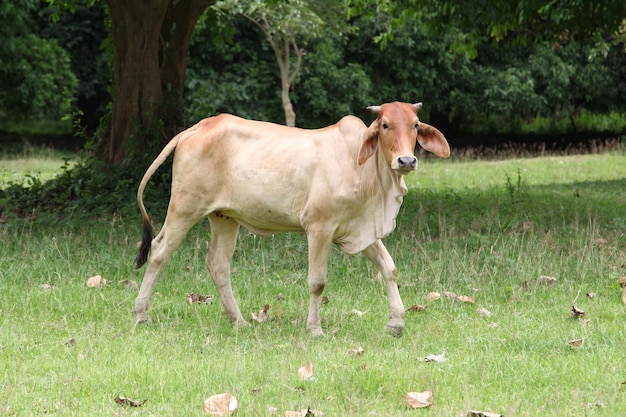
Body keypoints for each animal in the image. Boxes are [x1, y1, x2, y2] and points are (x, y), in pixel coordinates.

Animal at [133, 102, 448, 336]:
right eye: (385, 125)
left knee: (218, 264)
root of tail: (197, 127)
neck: (363, 170)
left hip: (224, 217)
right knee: (159, 251)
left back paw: (238, 320)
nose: (406, 161)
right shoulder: (319, 227)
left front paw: (397, 322)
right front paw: (315, 329)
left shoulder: (360, 229)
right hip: (185, 208)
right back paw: (139, 313)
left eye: (415, 124)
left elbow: (389, 268)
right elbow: (317, 281)